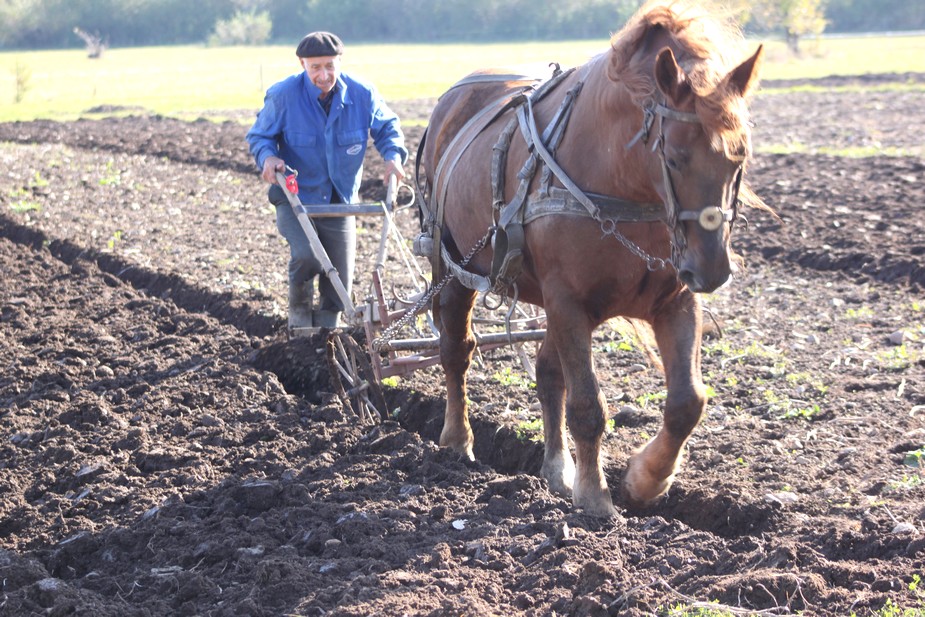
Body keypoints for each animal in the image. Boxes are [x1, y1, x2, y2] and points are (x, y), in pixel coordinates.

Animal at [416, 0, 764, 516]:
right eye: (675, 157)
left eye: (739, 156)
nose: (713, 270)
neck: (622, 181)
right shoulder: (567, 301)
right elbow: (587, 406)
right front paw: (596, 496)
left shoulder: (674, 300)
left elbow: (687, 402)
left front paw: (645, 481)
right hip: (455, 269)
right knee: (457, 351)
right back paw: (457, 441)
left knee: (546, 372)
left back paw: (555, 468)